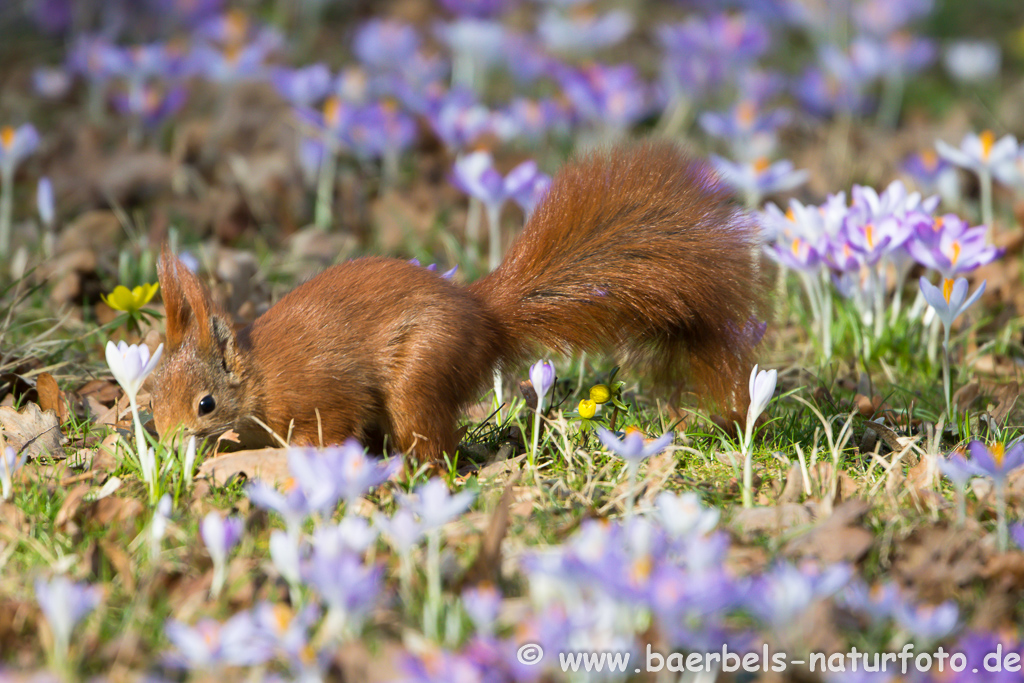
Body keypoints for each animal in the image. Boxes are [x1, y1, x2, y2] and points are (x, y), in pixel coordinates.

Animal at [151, 141, 770, 462]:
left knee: (432, 439)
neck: (258, 378)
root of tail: (484, 316)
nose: (166, 440)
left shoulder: (323, 390)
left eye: (205, 403)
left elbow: (333, 422)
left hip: (423, 368)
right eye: (152, 394)